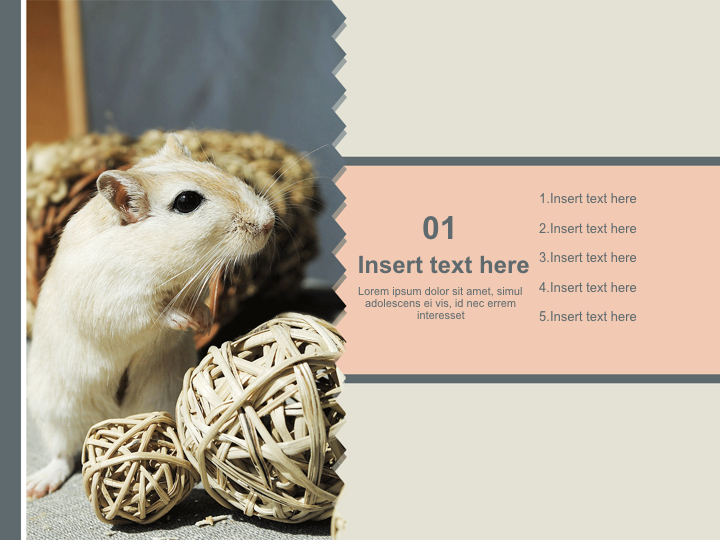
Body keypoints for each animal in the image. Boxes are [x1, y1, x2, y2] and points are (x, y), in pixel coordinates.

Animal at [26, 134, 275, 499]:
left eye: (215, 168)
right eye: (186, 201)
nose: (269, 223)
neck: (158, 257)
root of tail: (108, 418)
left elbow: (194, 305)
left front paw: (202, 319)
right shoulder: (119, 304)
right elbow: (156, 314)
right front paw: (186, 321)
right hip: (55, 410)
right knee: (63, 453)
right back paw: (37, 487)